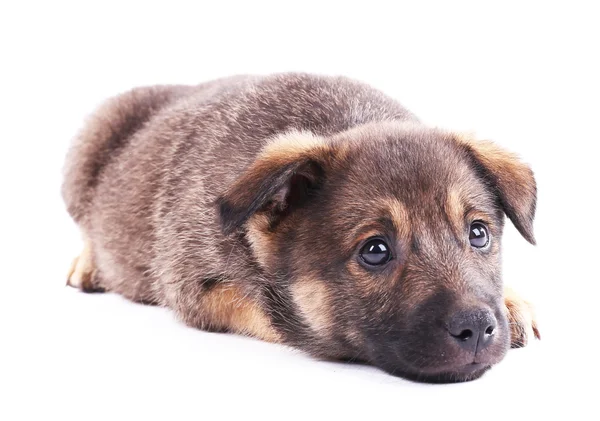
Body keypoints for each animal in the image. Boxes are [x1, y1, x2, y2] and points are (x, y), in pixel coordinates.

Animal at [63, 72, 540, 380]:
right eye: (375, 251)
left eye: (479, 234)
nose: (477, 328)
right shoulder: (195, 286)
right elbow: (271, 312)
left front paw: (514, 301)